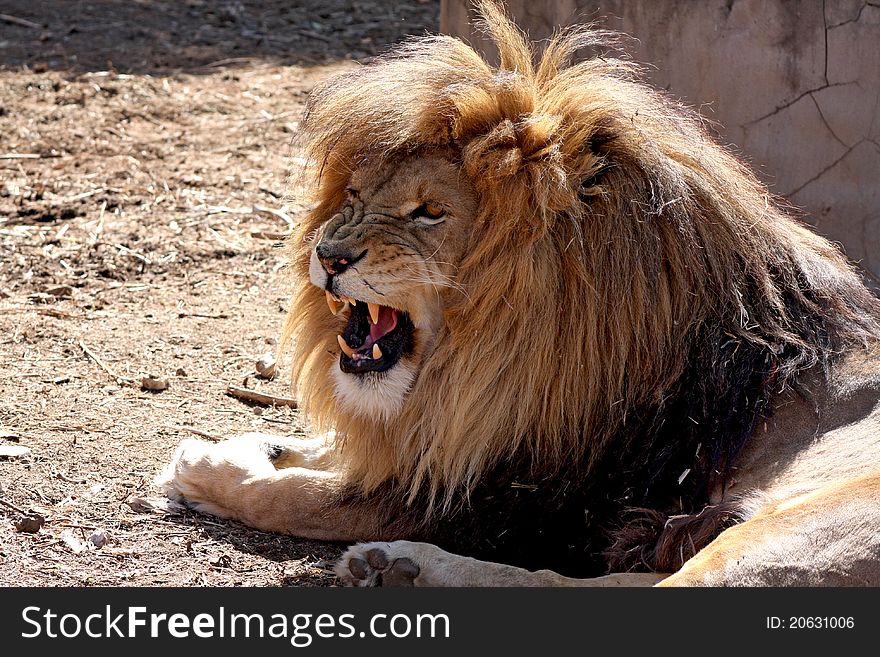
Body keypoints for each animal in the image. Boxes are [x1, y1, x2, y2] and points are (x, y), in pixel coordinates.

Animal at [156, 0, 880, 584]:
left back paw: (405, 567)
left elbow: (307, 497)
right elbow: (340, 453)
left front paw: (209, 471)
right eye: (355, 196)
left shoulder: (517, 497)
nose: (329, 256)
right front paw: (249, 445)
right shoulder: (459, 436)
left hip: (789, 530)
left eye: (429, 212)